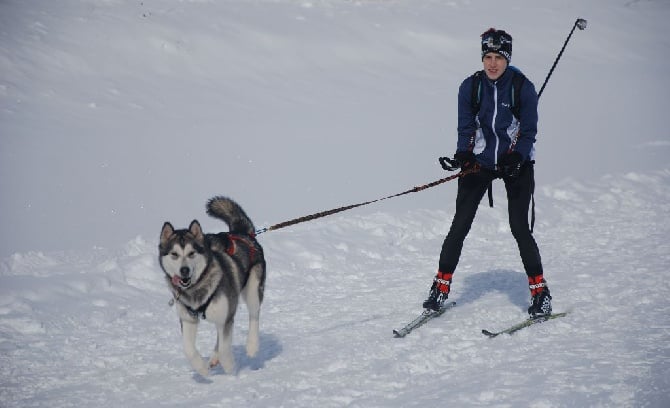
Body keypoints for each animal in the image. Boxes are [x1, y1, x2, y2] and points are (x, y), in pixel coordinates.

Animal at [159, 198, 266, 376]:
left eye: (191, 253)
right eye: (174, 254)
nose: (184, 270)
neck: (197, 287)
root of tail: (244, 234)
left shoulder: (226, 316)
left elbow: (224, 349)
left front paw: (230, 370)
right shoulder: (188, 319)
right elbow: (188, 349)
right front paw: (201, 368)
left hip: (252, 290)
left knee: (254, 315)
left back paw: (252, 346)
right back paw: (214, 358)